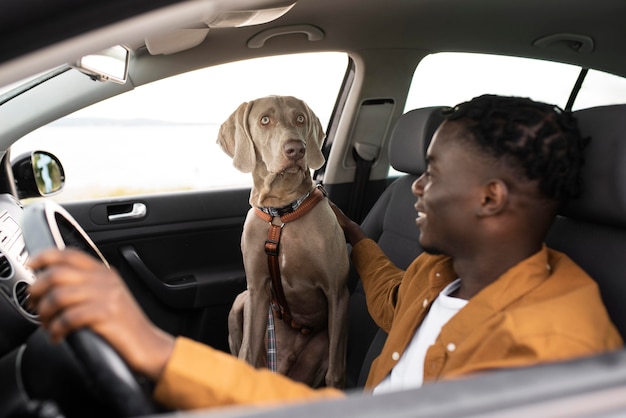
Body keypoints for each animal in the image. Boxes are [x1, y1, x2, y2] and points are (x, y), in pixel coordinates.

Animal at [217, 95, 348, 388]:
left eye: (300, 118)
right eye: (265, 120)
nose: (296, 150)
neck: (281, 215)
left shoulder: (337, 292)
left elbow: (336, 371)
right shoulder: (256, 289)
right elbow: (246, 353)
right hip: (240, 302)